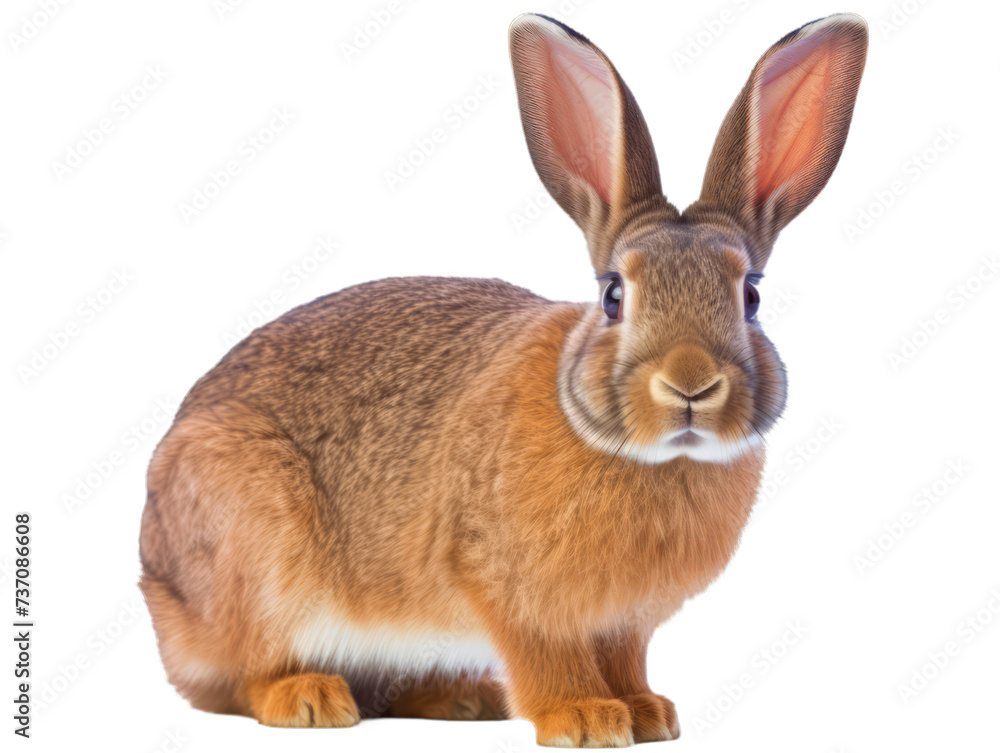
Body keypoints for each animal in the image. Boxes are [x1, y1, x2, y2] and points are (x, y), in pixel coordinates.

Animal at [139, 11, 867, 748]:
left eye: (750, 297)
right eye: (613, 295)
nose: (690, 384)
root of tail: (158, 588)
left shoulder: (624, 623)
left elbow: (625, 659)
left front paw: (648, 712)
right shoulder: (508, 586)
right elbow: (545, 655)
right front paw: (583, 718)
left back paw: (463, 699)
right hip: (258, 547)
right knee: (241, 675)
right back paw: (310, 698)